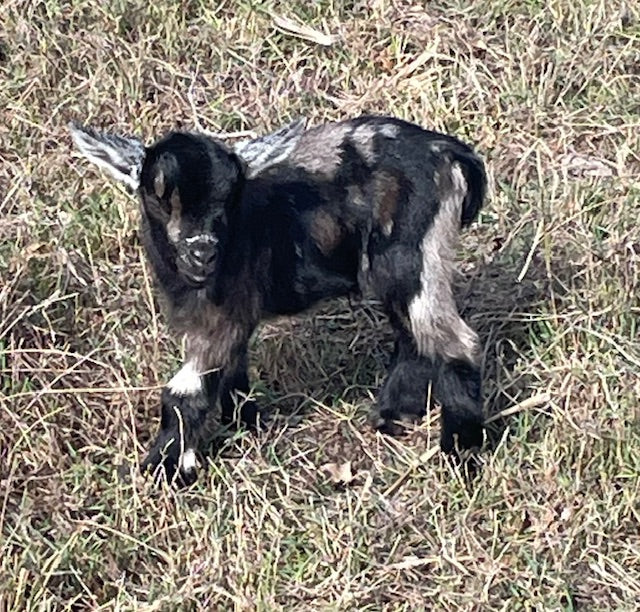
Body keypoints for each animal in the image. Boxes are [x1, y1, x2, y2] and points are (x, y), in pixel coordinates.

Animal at [70, 115, 487, 484]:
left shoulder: (222, 313)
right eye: (157, 196)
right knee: (413, 334)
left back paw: (460, 452)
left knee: (455, 340)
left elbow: (183, 392)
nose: (202, 253)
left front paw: (166, 470)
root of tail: (449, 152)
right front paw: (247, 425)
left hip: (412, 256)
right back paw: (393, 416)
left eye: (231, 197)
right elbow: (231, 371)